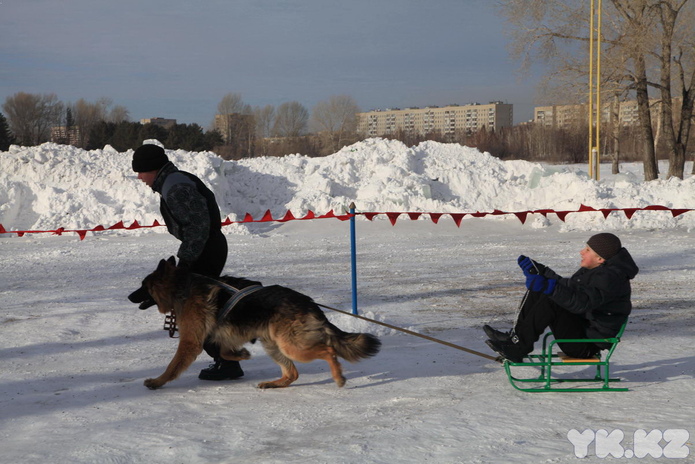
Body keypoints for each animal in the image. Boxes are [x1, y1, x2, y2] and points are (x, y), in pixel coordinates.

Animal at [141, 260, 380, 390]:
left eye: (143, 286)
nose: (132, 297)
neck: (182, 286)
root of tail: (308, 302)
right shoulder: (226, 336)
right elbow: (226, 352)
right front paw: (242, 354)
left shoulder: (191, 342)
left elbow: (173, 366)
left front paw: (157, 381)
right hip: (273, 345)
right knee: (293, 373)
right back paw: (273, 383)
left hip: (291, 346)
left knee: (329, 350)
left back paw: (338, 377)